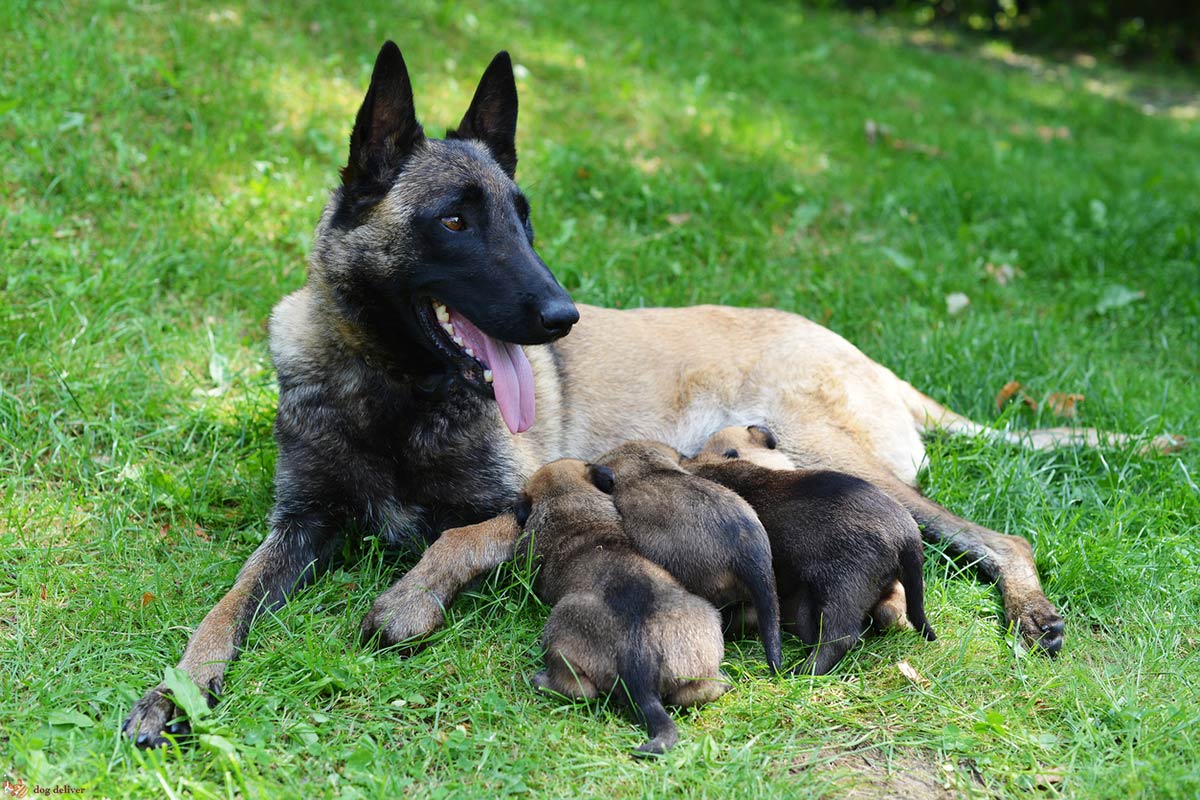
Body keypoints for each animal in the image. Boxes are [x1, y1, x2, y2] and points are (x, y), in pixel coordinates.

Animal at [511, 460, 724, 753]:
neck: (567, 501)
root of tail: (638, 660)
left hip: (558, 628)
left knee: (581, 691)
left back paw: (541, 681)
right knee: (694, 694)